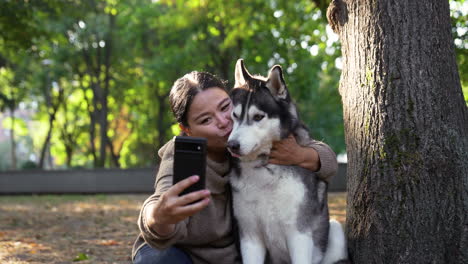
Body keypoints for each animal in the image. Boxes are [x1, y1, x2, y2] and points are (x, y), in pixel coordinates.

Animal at [227, 59, 348, 264]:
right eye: (235, 116)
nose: (232, 145)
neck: (264, 171)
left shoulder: (299, 234)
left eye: (258, 117)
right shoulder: (250, 236)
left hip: (336, 229)